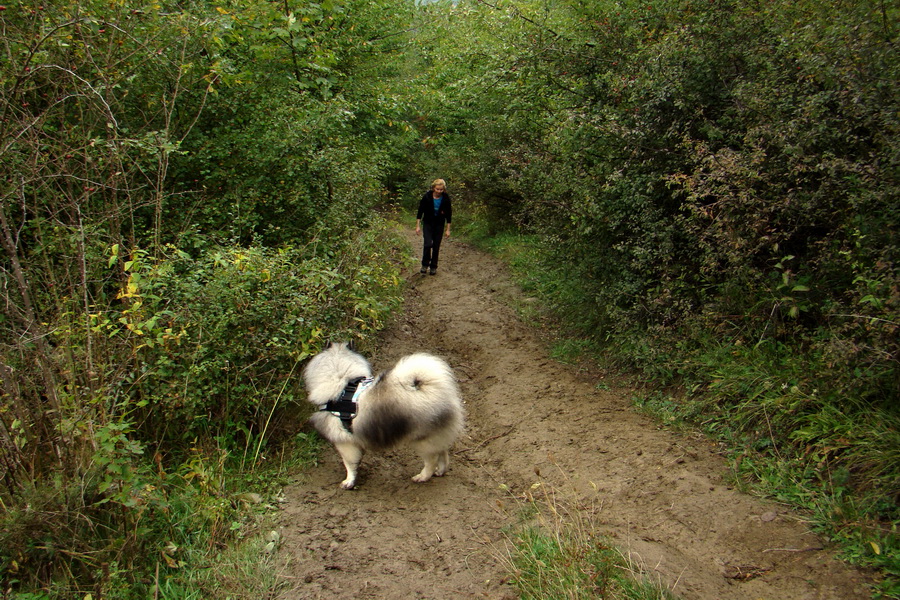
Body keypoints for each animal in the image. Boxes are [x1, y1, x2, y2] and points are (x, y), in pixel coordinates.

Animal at [306, 342, 468, 488]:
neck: (344, 381)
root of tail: (438, 391)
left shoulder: (345, 443)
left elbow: (349, 464)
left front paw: (349, 481)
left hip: (422, 441)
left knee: (432, 460)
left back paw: (422, 477)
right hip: (435, 437)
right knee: (443, 453)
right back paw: (440, 471)